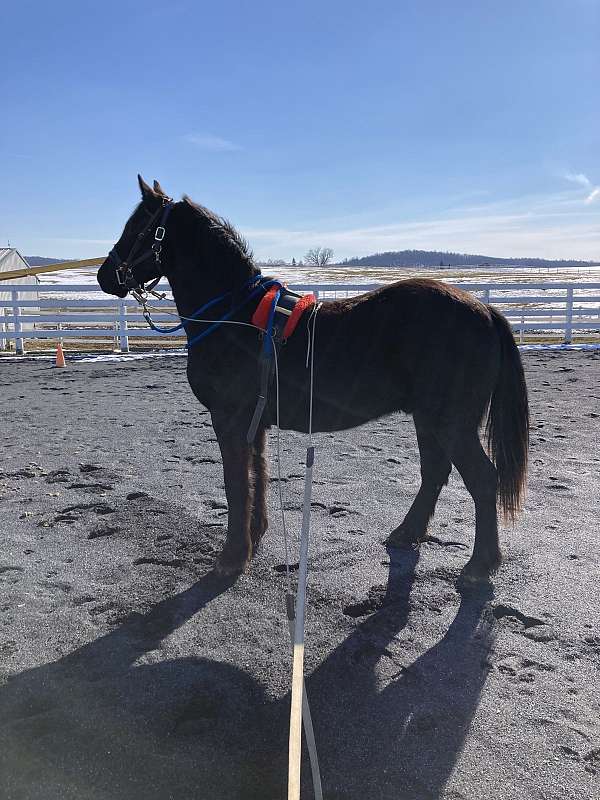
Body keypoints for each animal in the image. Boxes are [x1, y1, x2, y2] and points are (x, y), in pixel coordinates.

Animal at [98, 178, 528, 584]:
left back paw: (480, 563)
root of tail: (485, 310)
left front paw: (232, 556)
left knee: (482, 480)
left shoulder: (229, 418)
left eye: (138, 226)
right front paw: (255, 535)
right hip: (429, 419)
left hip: (451, 423)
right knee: (435, 473)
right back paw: (407, 533)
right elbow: (257, 474)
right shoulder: (253, 422)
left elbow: (235, 483)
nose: (105, 276)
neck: (233, 316)